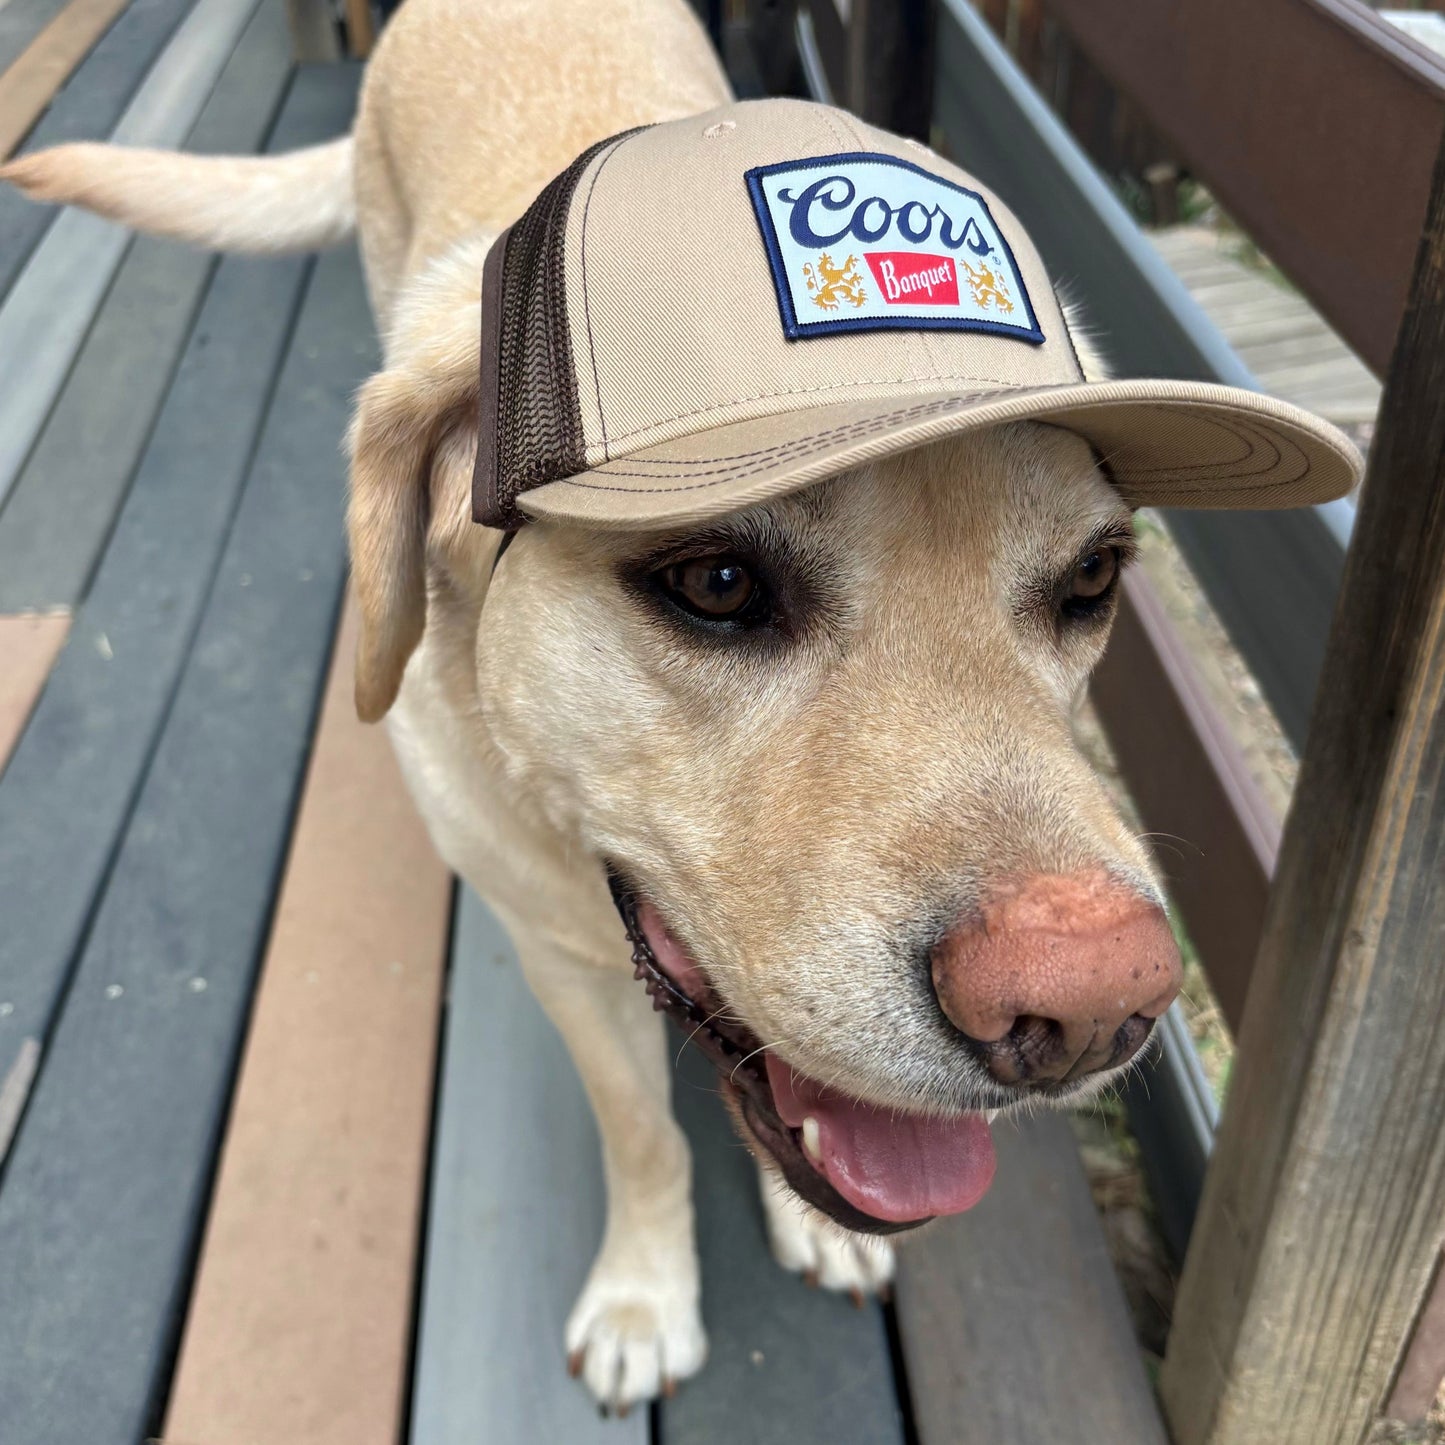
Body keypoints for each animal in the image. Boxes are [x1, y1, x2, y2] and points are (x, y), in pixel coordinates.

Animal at [2, 0, 1352, 1410]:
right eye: (716, 581)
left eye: (1091, 576)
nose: (1090, 1009)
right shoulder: (556, 955)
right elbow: (641, 1129)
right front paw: (645, 1297)